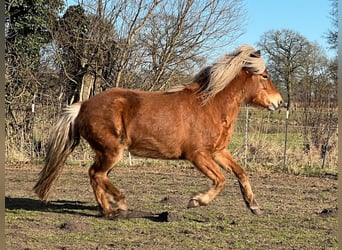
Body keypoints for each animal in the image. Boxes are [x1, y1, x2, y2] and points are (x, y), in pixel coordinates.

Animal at [33, 45, 282, 219]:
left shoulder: (218, 151)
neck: (209, 105)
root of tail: (83, 105)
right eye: (265, 76)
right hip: (111, 151)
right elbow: (220, 180)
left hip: (106, 153)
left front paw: (254, 206)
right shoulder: (198, 155)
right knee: (96, 174)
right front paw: (196, 200)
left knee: (97, 177)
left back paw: (108, 209)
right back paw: (119, 205)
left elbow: (241, 173)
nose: (279, 102)